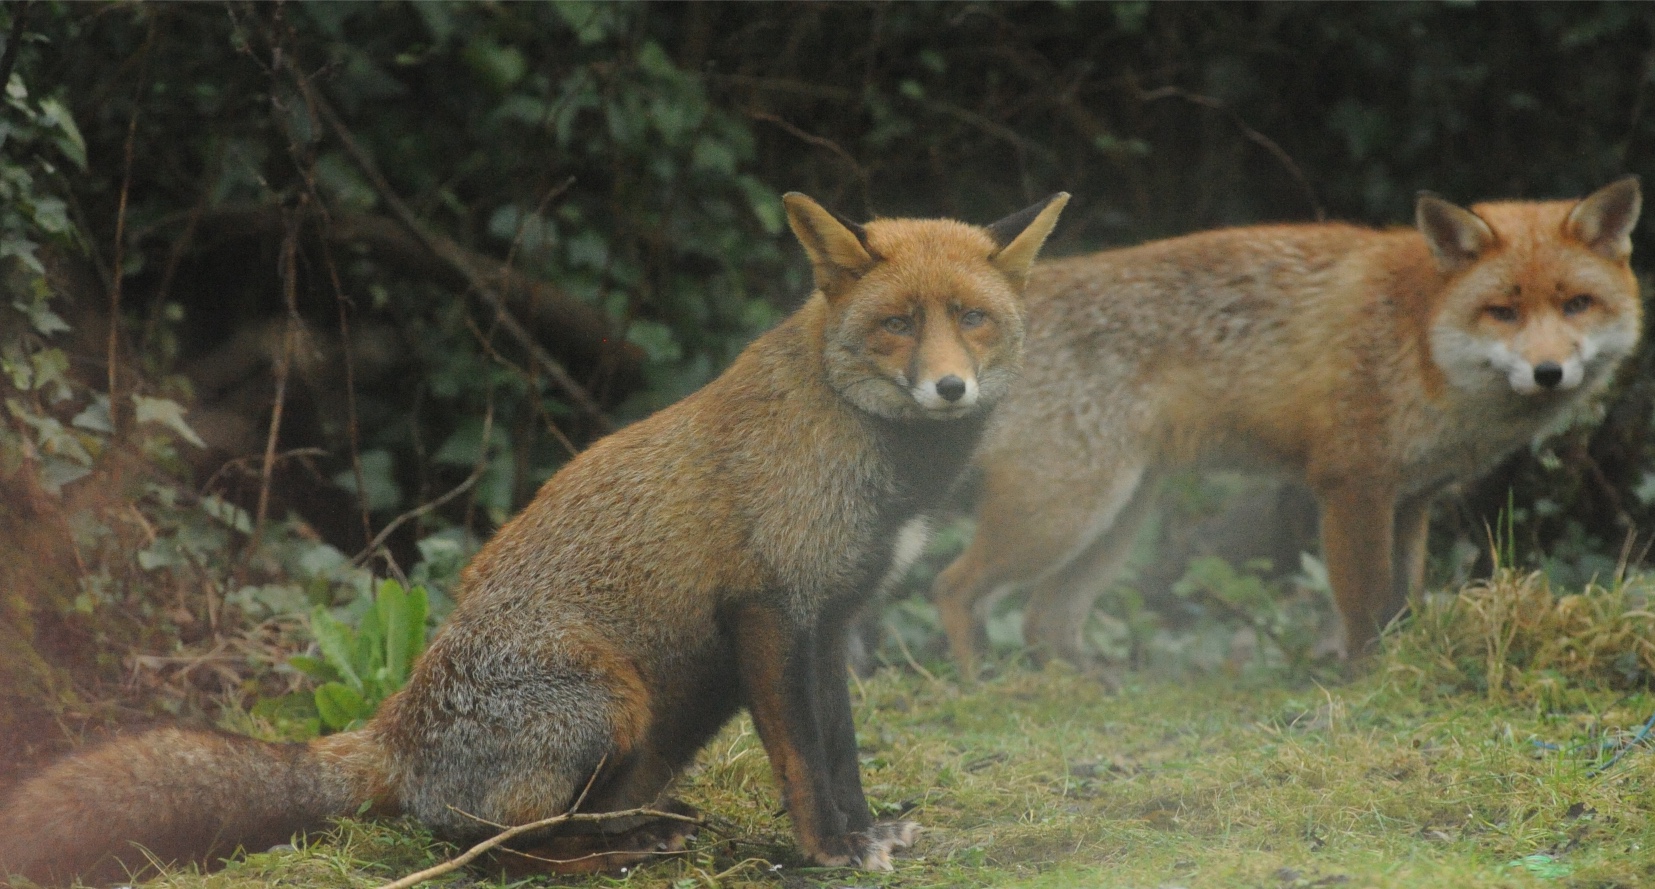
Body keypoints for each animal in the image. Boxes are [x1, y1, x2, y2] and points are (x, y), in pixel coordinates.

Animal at [0, 191, 1067, 885]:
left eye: (971, 319)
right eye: (897, 324)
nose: (950, 388)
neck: (872, 464)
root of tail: (394, 727)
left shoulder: (835, 618)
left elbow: (838, 746)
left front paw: (867, 830)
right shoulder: (770, 607)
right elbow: (802, 758)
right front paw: (827, 849)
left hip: (665, 720)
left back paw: (648, 824)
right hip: (615, 697)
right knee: (483, 849)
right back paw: (613, 851)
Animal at [932, 178, 1642, 677]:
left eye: (1577, 304)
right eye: (1503, 311)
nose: (1548, 372)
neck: (1418, 337)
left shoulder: (1412, 498)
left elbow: (1404, 603)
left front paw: (1402, 665)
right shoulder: (1351, 485)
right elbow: (1365, 604)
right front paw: (1368, 680)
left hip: (1115, 519)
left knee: (1042, 619)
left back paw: (1081, 685)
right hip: (1062, 515)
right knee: (956, 587)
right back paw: (981, 684)